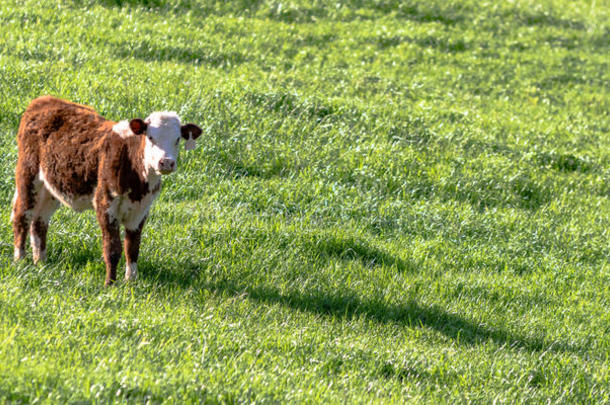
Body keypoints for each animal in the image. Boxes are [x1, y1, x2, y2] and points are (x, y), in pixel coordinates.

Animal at [11, 95, 202, 284]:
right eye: (150, 137)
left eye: (177, 139)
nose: (166, 162)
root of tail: (43, 100)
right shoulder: (105, 204)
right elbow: (112, 248)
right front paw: (110, 283)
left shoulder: (141, 210)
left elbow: (132, 247)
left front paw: (131, 281)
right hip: (28, 175)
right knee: (22, 215)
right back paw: (20, 260)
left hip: (50, 188)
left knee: (39, 221)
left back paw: (40, 262)